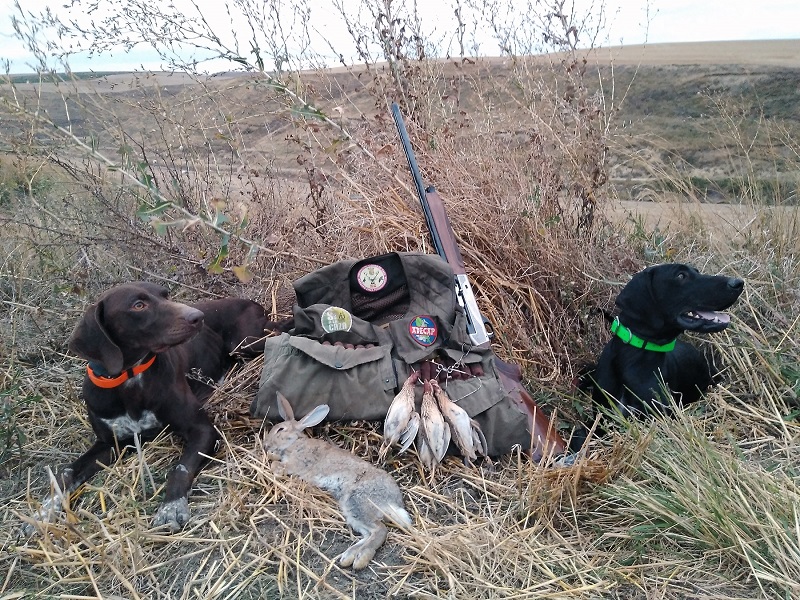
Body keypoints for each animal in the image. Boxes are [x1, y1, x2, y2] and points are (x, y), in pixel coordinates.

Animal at [29, 284, 272, 532]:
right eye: (139, 305)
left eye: (166, 295)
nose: (198, 317)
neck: (129, 379)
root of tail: (249, 301)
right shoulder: (108, 444)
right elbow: (67, 472)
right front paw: (43, 511)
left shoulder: (202, 430)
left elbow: (180, 468)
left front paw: (171, 507)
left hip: (246, 343)